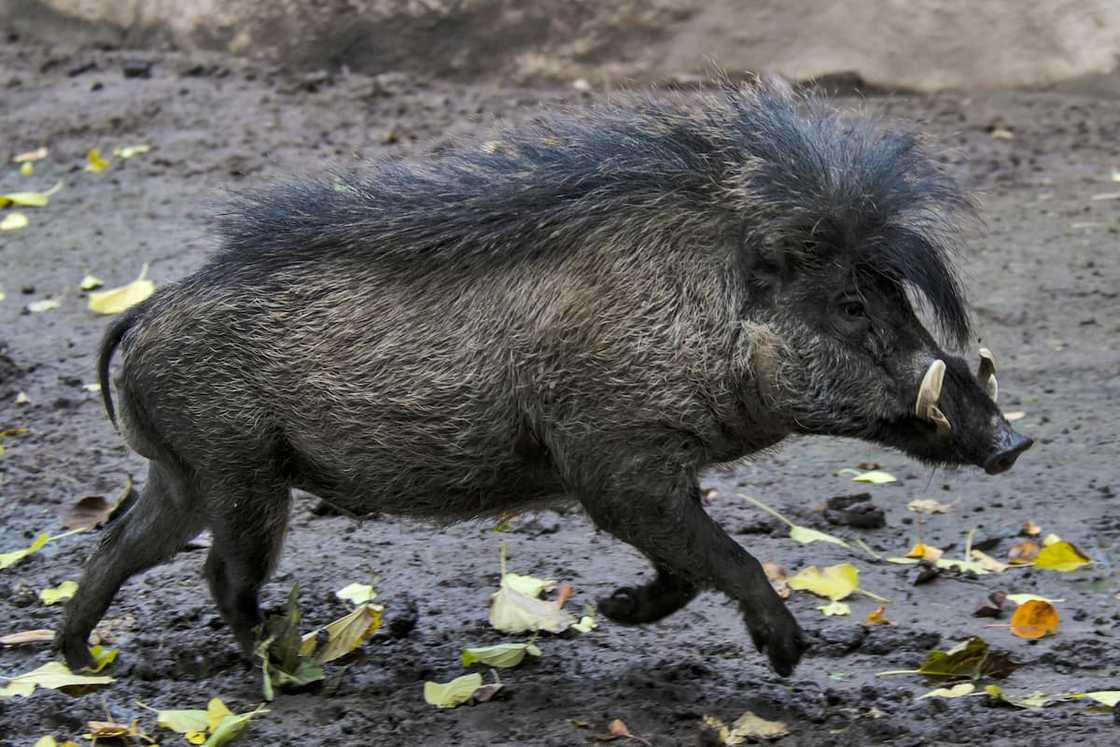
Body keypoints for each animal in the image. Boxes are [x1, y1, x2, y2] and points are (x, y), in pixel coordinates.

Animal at [56, 80, 1025, 676]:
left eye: (893, 293)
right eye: (851, 305)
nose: (1011, 440)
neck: (699, 309)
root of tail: (149, 310)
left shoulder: (643, 470)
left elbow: (685, 566)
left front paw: (617, 606)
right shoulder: (613, 463)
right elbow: (726, 553)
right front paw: (786, 654)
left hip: (186, 472)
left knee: (118, 545)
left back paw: (80, 658)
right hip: (241, 474)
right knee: (222, 573)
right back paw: (284, 656)